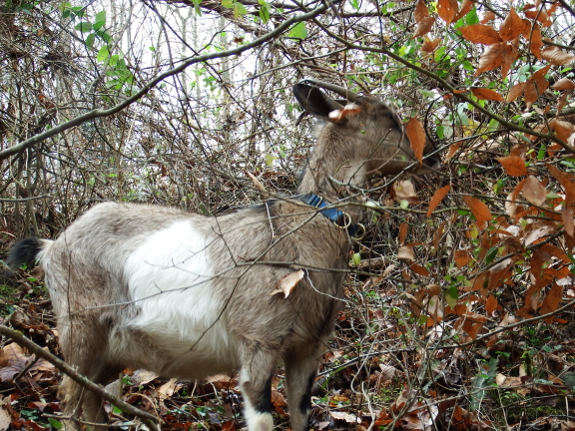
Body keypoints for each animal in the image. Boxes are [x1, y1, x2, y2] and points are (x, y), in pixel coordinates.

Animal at [7, 81, 436, 431]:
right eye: (390, 119)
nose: (430, 157)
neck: (304, 227)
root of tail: (53, 245)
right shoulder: (260, 340)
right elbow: (262, 415)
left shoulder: (308, 348)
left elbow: (301, 412)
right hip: (80, 327)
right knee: (69, 397)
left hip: (110, 348)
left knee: (92, 400)